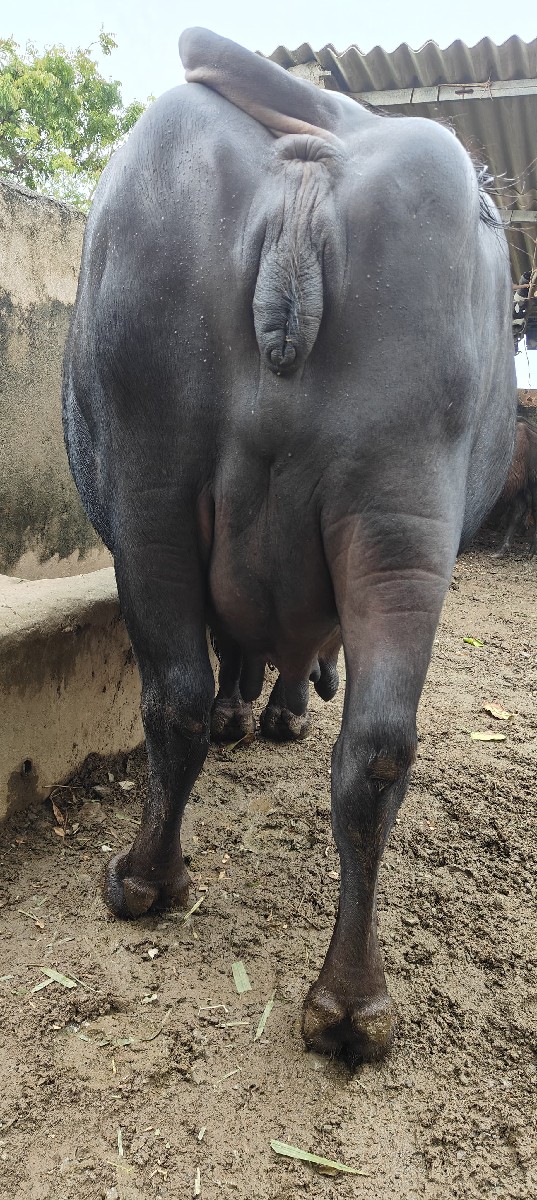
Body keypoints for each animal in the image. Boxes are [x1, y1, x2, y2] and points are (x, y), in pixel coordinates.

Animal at [62, 28, 517, 1063]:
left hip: (152, 493)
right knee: (373, 751)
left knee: (188, 701)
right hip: (395, 520)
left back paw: (150, 882)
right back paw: (349, 1001)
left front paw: (265, 712)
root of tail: (333, 133)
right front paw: (273, 712)